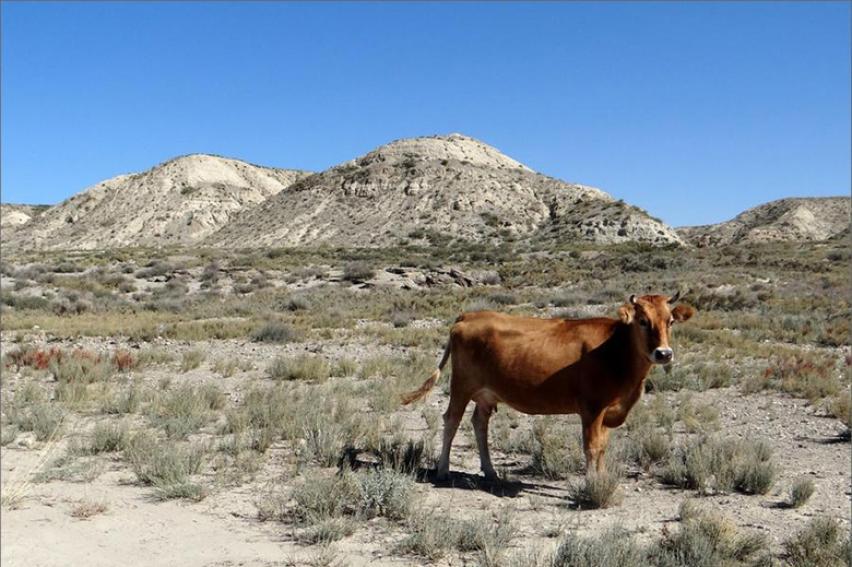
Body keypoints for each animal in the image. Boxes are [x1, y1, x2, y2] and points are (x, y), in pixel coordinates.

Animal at [402, 298, 692, 480]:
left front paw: (603, 477)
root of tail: (469, 315)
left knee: (479, 423)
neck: (615, 348)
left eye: (670, 321)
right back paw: (443, 470)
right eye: (642, 320)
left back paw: (490, 471)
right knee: (451, 420)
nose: (663, 353)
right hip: (461, 386)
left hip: (486, 393)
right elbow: (591, 446)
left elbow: (602, 448)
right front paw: (593, 483)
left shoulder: (608, 411)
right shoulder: (592, 407)